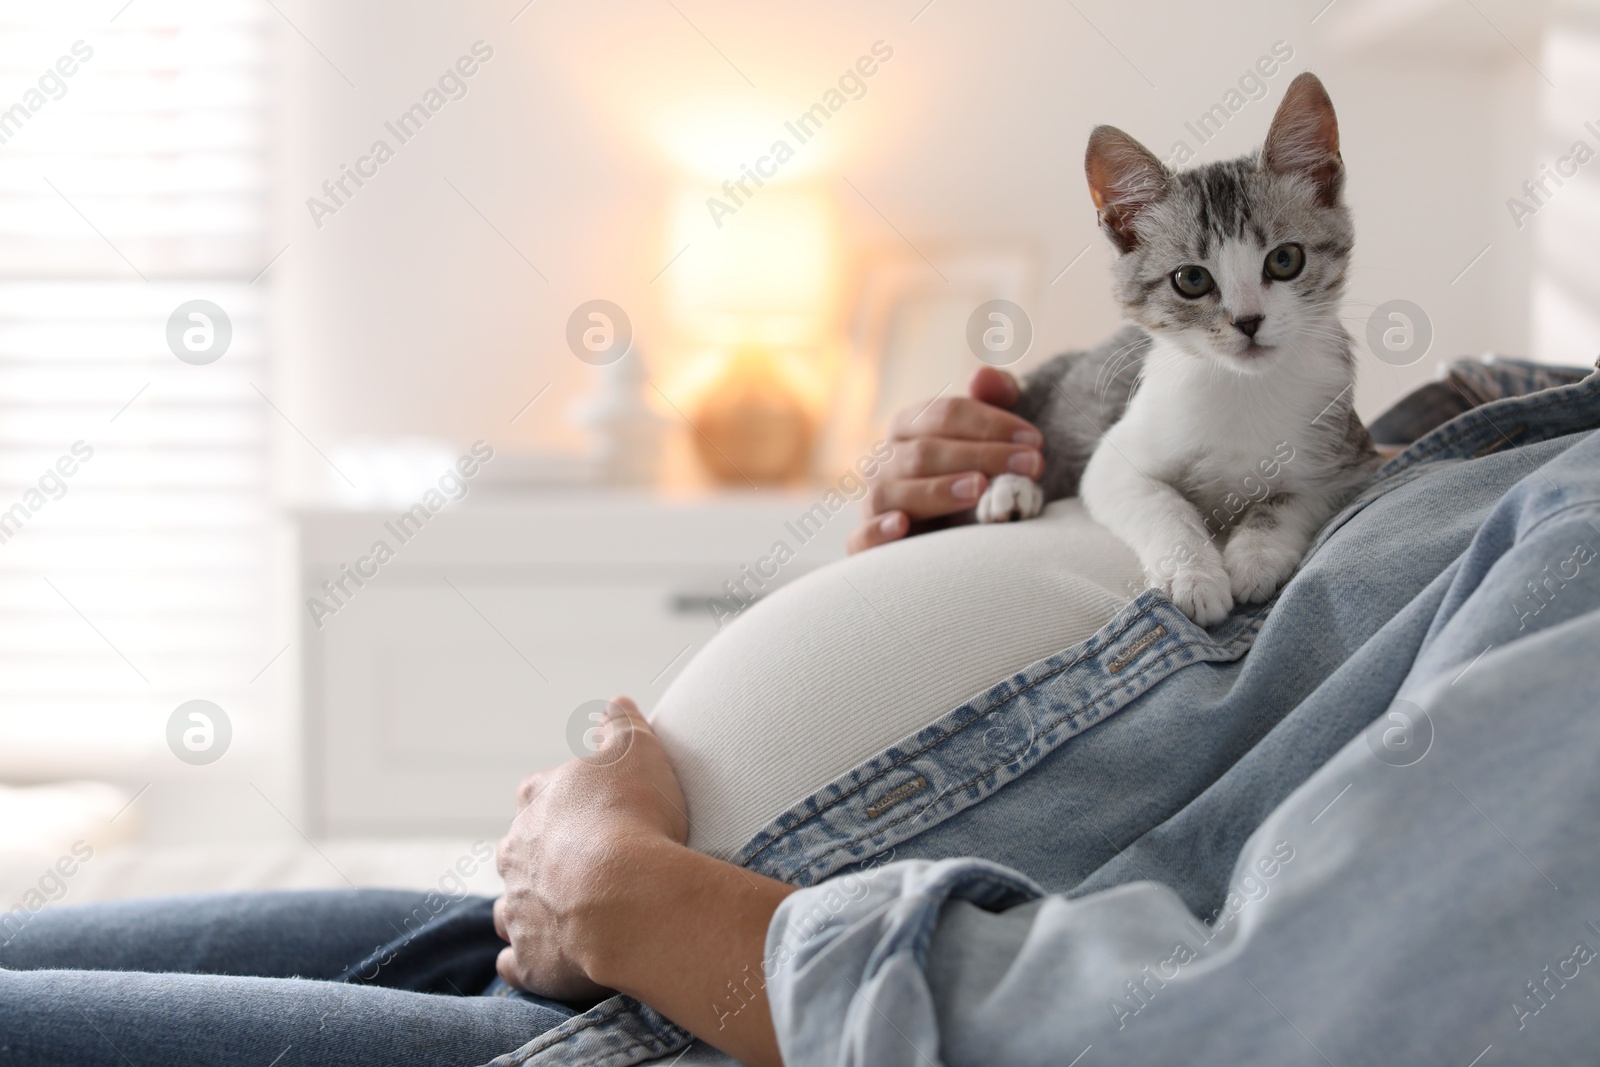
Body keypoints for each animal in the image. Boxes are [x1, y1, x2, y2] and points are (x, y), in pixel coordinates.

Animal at [972, 73, 1376, 627]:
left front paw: (1255, 556)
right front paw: (1195, 576)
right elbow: (1165, 506)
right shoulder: (1113, 465)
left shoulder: (1347, 462)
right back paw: (1012, 490)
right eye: (1191, 279)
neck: (1241, 389)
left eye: (1285, 260)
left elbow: (1287, 500)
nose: (1248, 321)